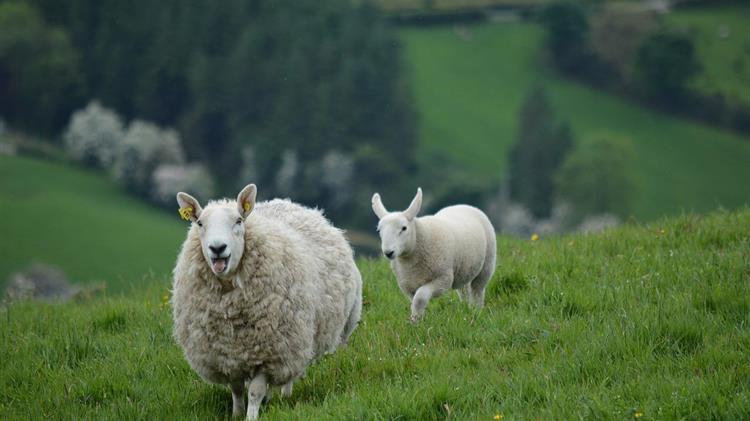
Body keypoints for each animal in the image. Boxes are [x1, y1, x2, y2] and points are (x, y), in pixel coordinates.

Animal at [171, 185, 364, 420]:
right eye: (200, 223)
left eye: (238, 221)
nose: (217, 248)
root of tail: (292, 204)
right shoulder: (226, 355)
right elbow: (237, 388)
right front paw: (236, 414)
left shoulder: (270, 352)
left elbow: (255, 391)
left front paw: (251, 416)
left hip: (308, 335)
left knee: (292, 371)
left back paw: (285, 396)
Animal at [372, 187, 500, 322]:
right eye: (379, 230)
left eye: (404, 228)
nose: (388, 252)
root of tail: (463, 205)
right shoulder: (408, 286)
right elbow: (415, 301)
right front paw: (416, 319)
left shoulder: (443, 279)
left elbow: (420, 298)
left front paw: (416, 321)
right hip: (463, 268)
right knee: (464, 289)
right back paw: (466, 309)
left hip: (487, 264)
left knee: (477, 290)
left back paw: (476, 310)